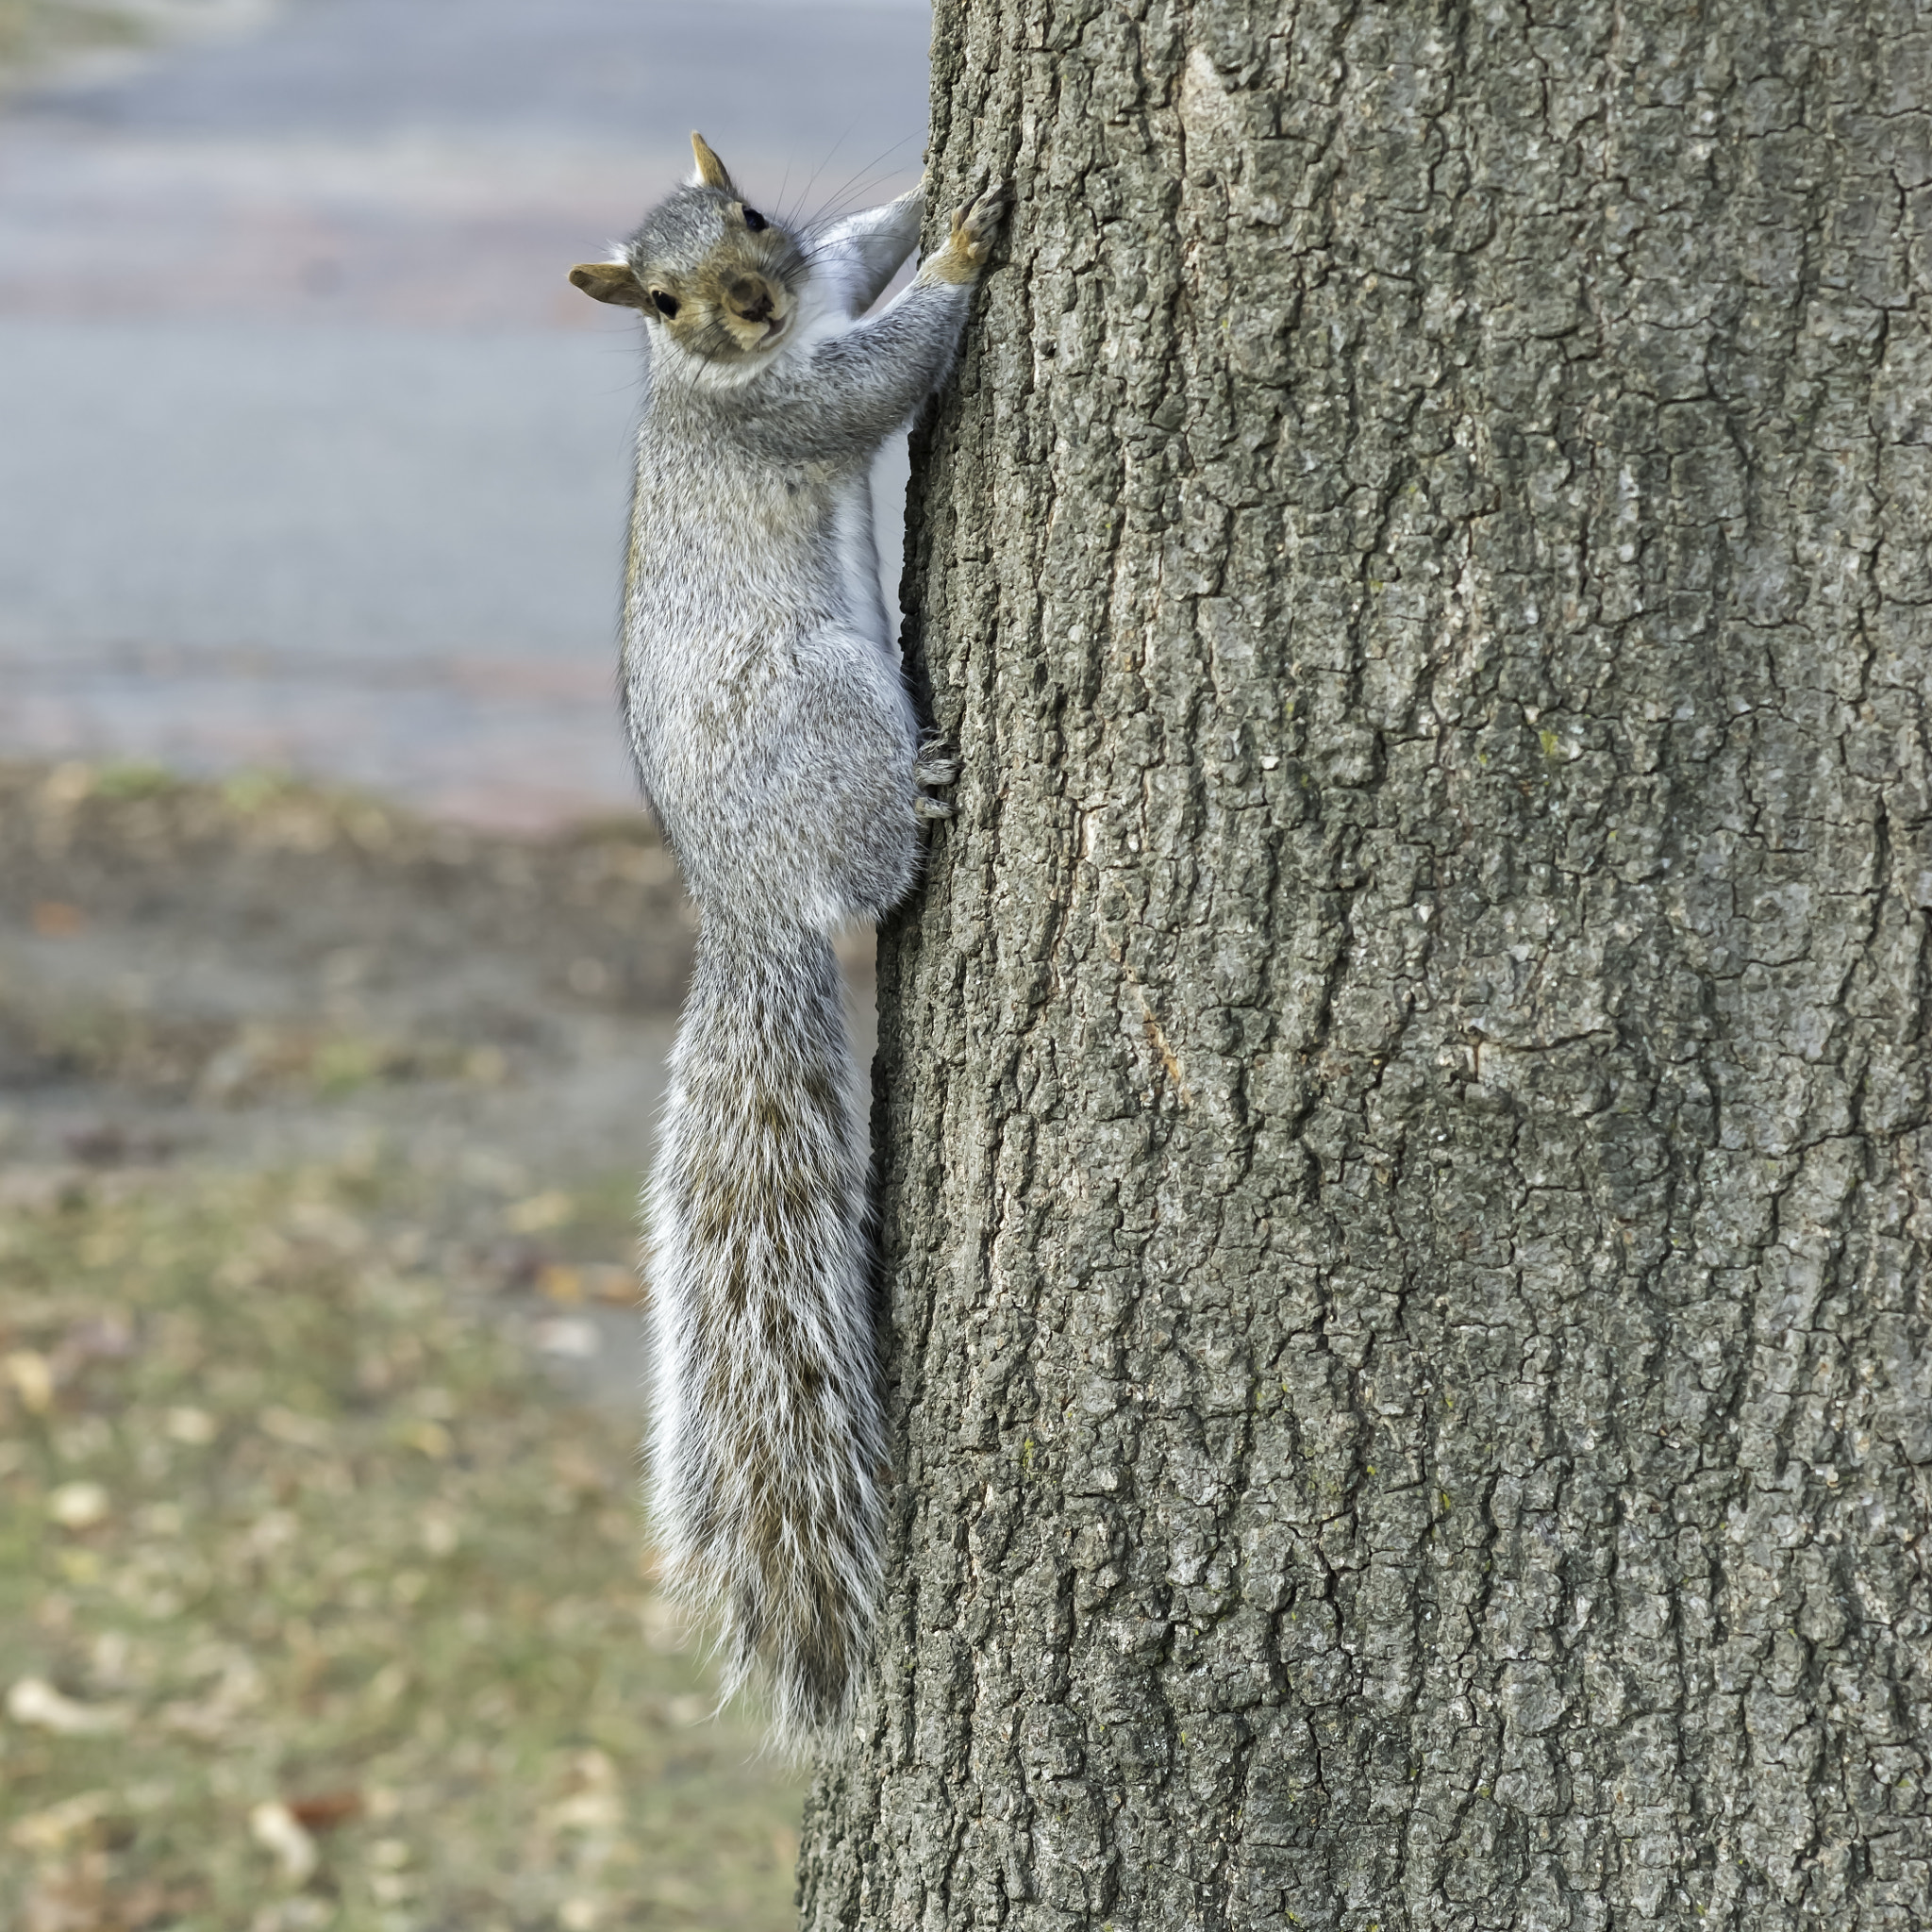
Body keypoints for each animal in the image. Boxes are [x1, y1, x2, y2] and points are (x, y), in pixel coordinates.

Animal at [564, 128, 1004, 1746]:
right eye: (662, 300)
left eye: (751, 214)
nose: (750, 302)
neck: (731, 368)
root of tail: (743, 900)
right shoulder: (791, 409)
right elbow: (881, 372)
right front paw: (963, 256)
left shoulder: (821, 285)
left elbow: (864, 251)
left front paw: (932, 199)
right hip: (826, 703)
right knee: (867, 876)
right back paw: (921, 801)